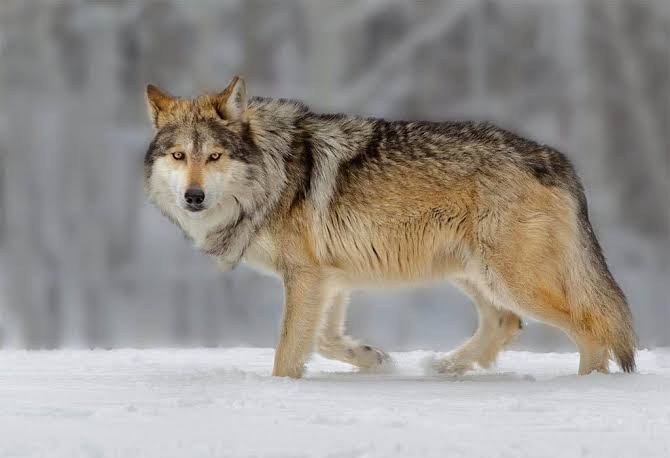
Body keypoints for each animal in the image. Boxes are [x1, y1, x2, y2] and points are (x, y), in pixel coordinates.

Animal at [144, 76, 636, 380]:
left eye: (214, 156)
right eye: (179, 156)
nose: (193, 197)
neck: (271, 173)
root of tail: (553, 158)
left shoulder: (306, 277)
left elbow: (287, 353)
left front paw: (281, 390)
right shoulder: (329, 278)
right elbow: (325, 340)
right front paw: (374, 359)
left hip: (512, 279)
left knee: (593, 327)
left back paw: (584, 387)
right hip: (471, 273)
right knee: (507, 322)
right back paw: (446, 369)